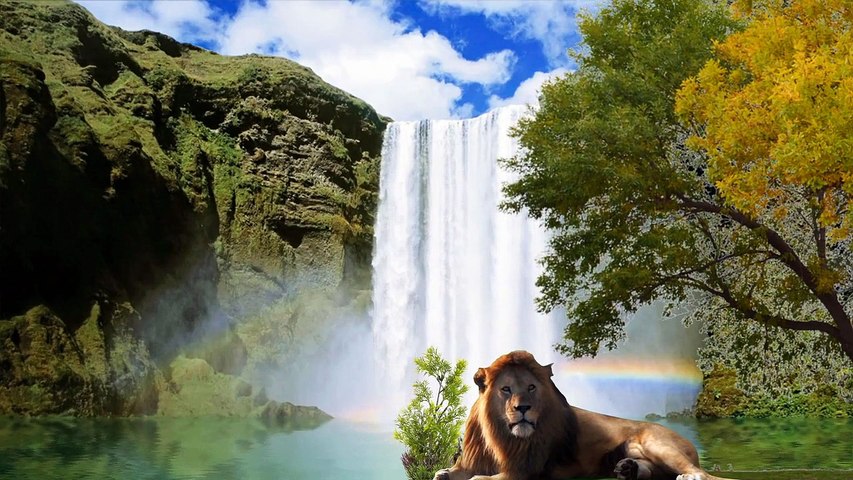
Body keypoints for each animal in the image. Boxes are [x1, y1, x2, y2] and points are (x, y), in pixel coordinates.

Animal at [433, 351, 733, 480]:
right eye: (506, 389)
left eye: (531, 387)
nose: (523, 408)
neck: (498, 434)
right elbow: (450, 473)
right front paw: (444, 473)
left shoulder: (526, 470)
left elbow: (486, 479)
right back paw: (628, 469)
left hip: (657, 443)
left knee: (702, 474)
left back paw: (688, 476)